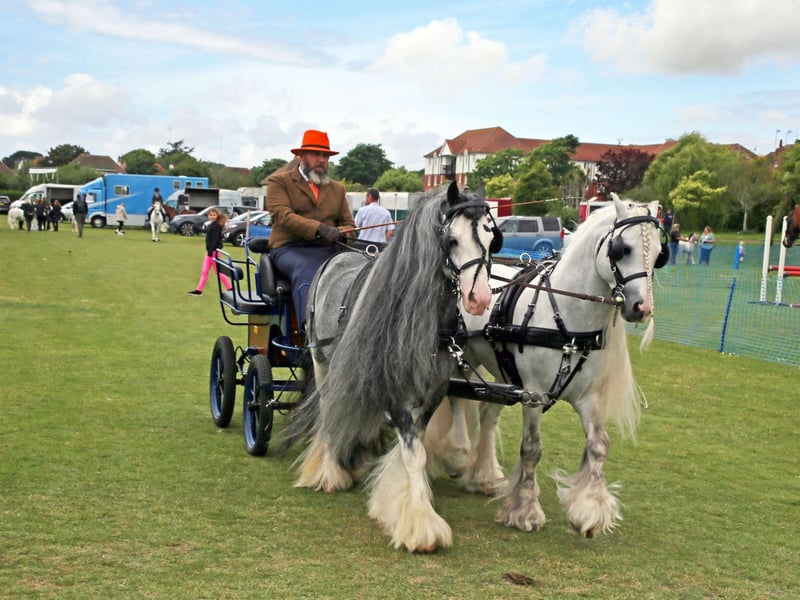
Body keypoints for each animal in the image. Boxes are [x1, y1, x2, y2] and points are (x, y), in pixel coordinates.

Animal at [283, 181, 500, 553]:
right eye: (452, 240)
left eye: (490, 238)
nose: (479, 299)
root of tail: (338, 256)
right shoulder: (396, 391)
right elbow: (414, 454)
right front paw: (420, 527)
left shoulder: (433, 390)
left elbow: (415, 447)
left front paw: (397, 502)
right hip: (322, 361)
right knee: (328, 409)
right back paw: (328, 470)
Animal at [426, 194, 667, 538]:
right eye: (623, 249)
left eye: (660, 254)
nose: (641, 308)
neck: (565, 316)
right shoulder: (534, 395)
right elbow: (532, 448)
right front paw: (525, 509)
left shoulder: (587, 398)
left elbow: (599, 445)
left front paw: (590, 510)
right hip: (462, 354)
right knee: (457, 398)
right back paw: (457, 455)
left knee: (488, 413)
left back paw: (484, 474)